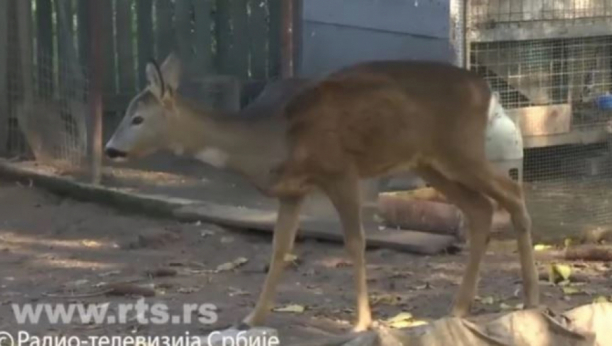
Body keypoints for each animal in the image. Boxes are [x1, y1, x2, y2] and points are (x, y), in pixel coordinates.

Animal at [106, 52, 540, 332]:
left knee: (513, 195)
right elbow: (279, 248)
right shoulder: (291, 190)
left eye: (137, 117)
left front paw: (362, 322)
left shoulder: (340, 171)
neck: (270, 136)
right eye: (127, 113)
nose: (110, 148)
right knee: (481, 209)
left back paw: (531, 301)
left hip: (459, 148)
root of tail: (487, 88)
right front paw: (251, 318)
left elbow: (355, 242)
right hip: (430, 162)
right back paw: (459, 308)